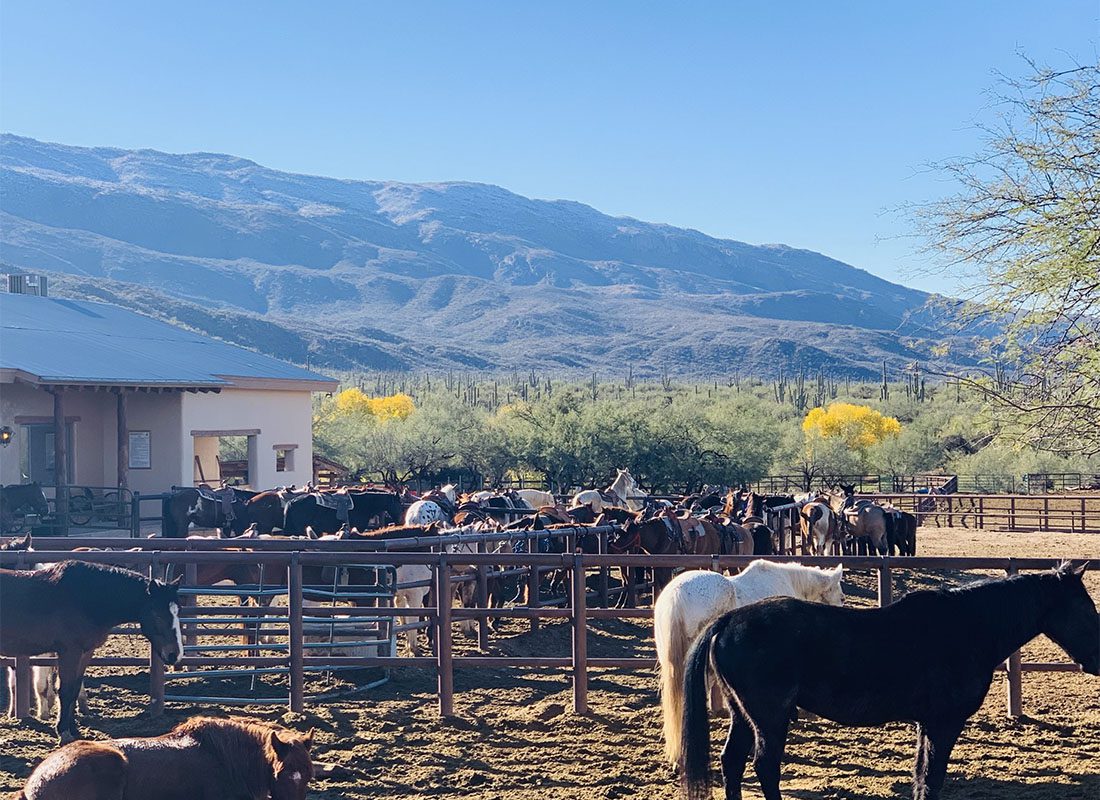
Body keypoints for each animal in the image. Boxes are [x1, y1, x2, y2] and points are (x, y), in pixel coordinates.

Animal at [0, 561, 182, 739]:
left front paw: (74, 730)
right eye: (157, 614)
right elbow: (65, 690)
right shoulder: (69, 652)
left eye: (177, 612)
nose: (174, 654)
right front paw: (63, 732)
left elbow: (74, 689)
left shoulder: (85, 652)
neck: (85, 597)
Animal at [682, 563, 1095, 800]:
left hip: (743, 716)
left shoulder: (928, 724)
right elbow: (932, 778)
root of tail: (727, 621)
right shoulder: (944, 723)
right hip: (769, 719)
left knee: (732, 762)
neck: (967, 627)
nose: (1097, 659)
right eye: (1085, 607)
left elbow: (922, 776)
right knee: (765, 768)